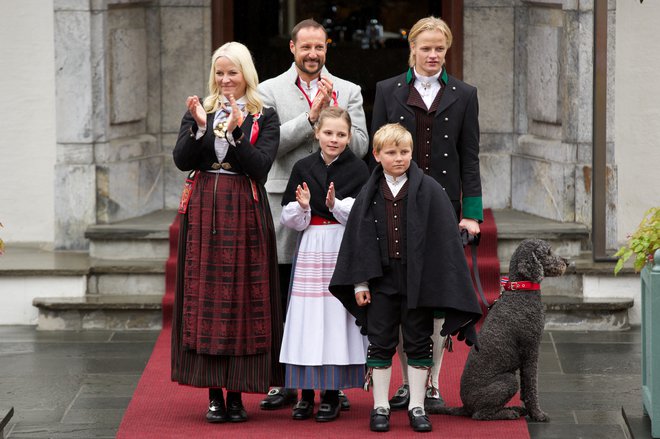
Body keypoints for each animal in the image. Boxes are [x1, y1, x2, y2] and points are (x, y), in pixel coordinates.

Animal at [428, 241, 568, 422]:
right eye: (548, 252)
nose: (567, 262)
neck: (520, 291)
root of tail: (465, 407)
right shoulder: (531, 350)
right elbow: (531, 387)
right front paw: (538, 414)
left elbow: (526, 388)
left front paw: (530, 410)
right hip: (508, 380)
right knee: (480, 414)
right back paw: (508, 413)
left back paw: (514, 408)